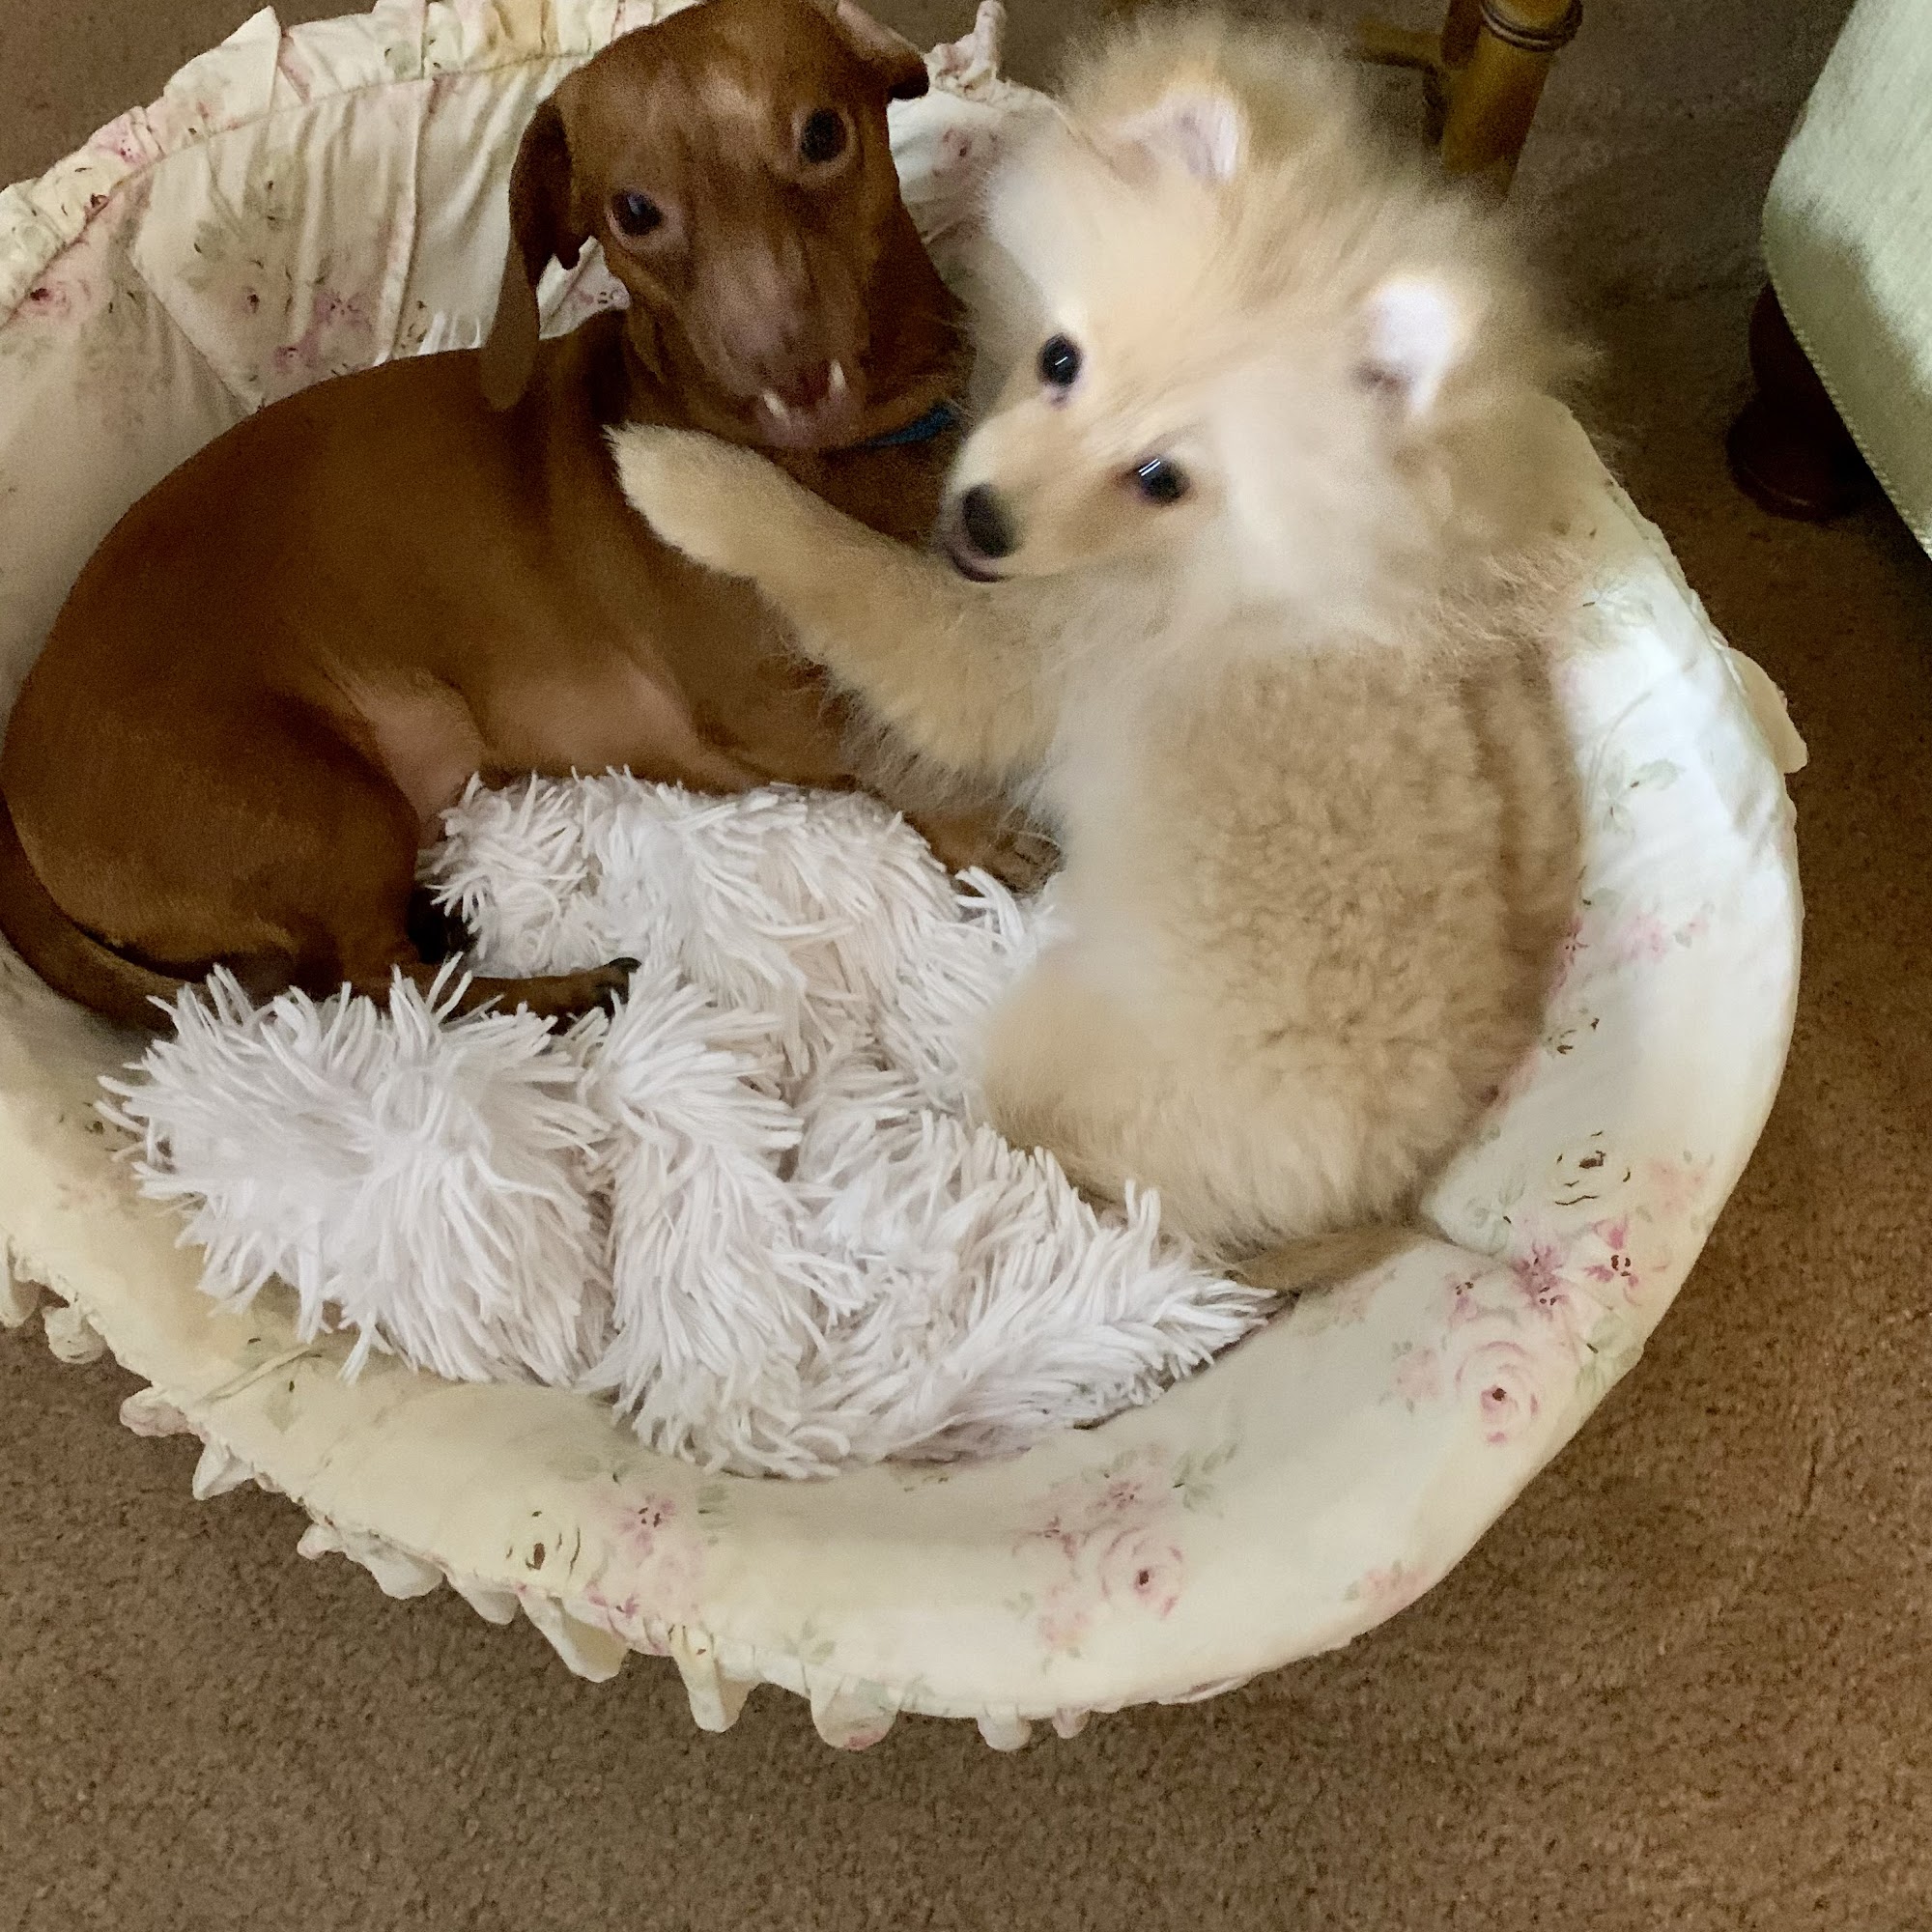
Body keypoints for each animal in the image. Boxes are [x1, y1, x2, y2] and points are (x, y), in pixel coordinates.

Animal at [0, 0, 1042, 1033]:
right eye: (633, 213)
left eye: (821, 135)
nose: (792, 379)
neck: (847, 461)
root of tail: (14, 782)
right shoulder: (765, 706)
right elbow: (890, 739)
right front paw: (984, 828)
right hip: (319, 807)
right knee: (377, 987)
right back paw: (555, 994)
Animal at [611, 14, 1586, 1275]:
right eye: (1059, 360)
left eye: (1159, 477)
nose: (983, 522)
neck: (1215, 566)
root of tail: (1385, 1187)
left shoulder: (1016, 653)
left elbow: (840, 566)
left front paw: (686, 479)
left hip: (1062, 1057)